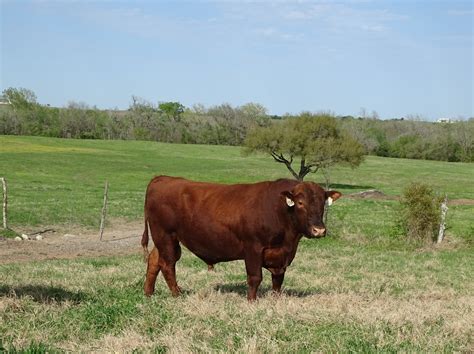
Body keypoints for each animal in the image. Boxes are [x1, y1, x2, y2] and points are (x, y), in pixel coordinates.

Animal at [141, 176, 340, 300]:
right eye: (300, 203)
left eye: (323, 203)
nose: (319, 230)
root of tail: (162, 178)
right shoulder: (253, 248)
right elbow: (255, 277)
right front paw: (252, 301)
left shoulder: (282, 255)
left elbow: (278, 279)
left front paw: (276, 299)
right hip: (165, 236)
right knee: (167, 265)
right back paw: (177, 294)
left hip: (164, 240)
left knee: (154, 261)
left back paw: (148, 293)